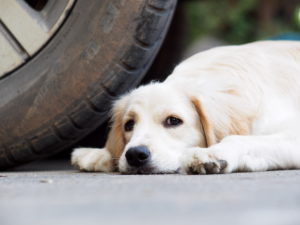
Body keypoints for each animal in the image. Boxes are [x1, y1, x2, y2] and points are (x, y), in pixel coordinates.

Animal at [71, 40, 300, 174]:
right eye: (129, 125)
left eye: (173, 121)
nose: (135, 155)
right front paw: (99, 154)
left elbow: (239, 139)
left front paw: (212, 153)